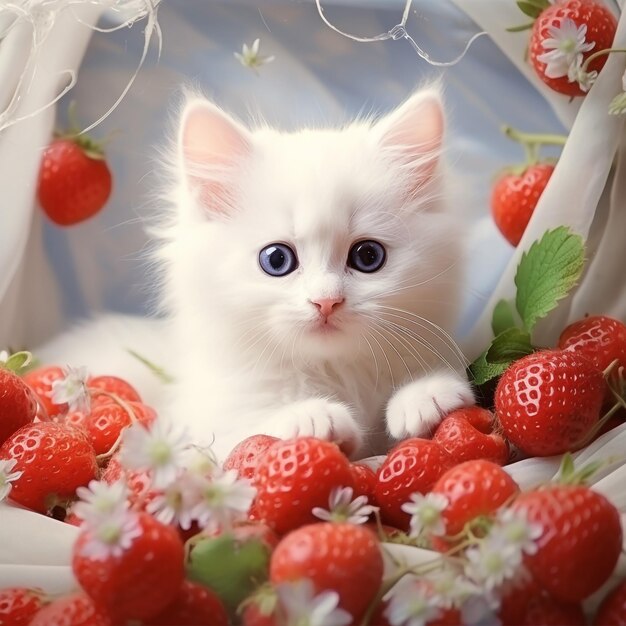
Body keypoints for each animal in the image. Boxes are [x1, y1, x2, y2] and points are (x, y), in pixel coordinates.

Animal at [35, 88, 472, 458]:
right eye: (276, 260)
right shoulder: (200, 429)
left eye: (368, 256)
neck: (334, 371)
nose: (326, 301)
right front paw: (311, 416)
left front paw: (426, 395)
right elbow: (249, 433)